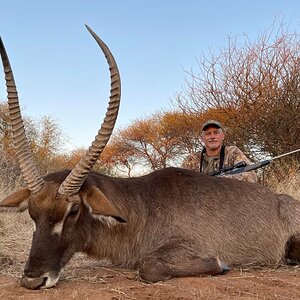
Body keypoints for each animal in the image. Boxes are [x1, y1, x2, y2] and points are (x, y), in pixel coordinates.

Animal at [0, 26, 300, 290]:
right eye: (32, 213)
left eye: (72, 210)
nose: (33, 280)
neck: (142, 206)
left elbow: (149, 266)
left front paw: (221, 264)